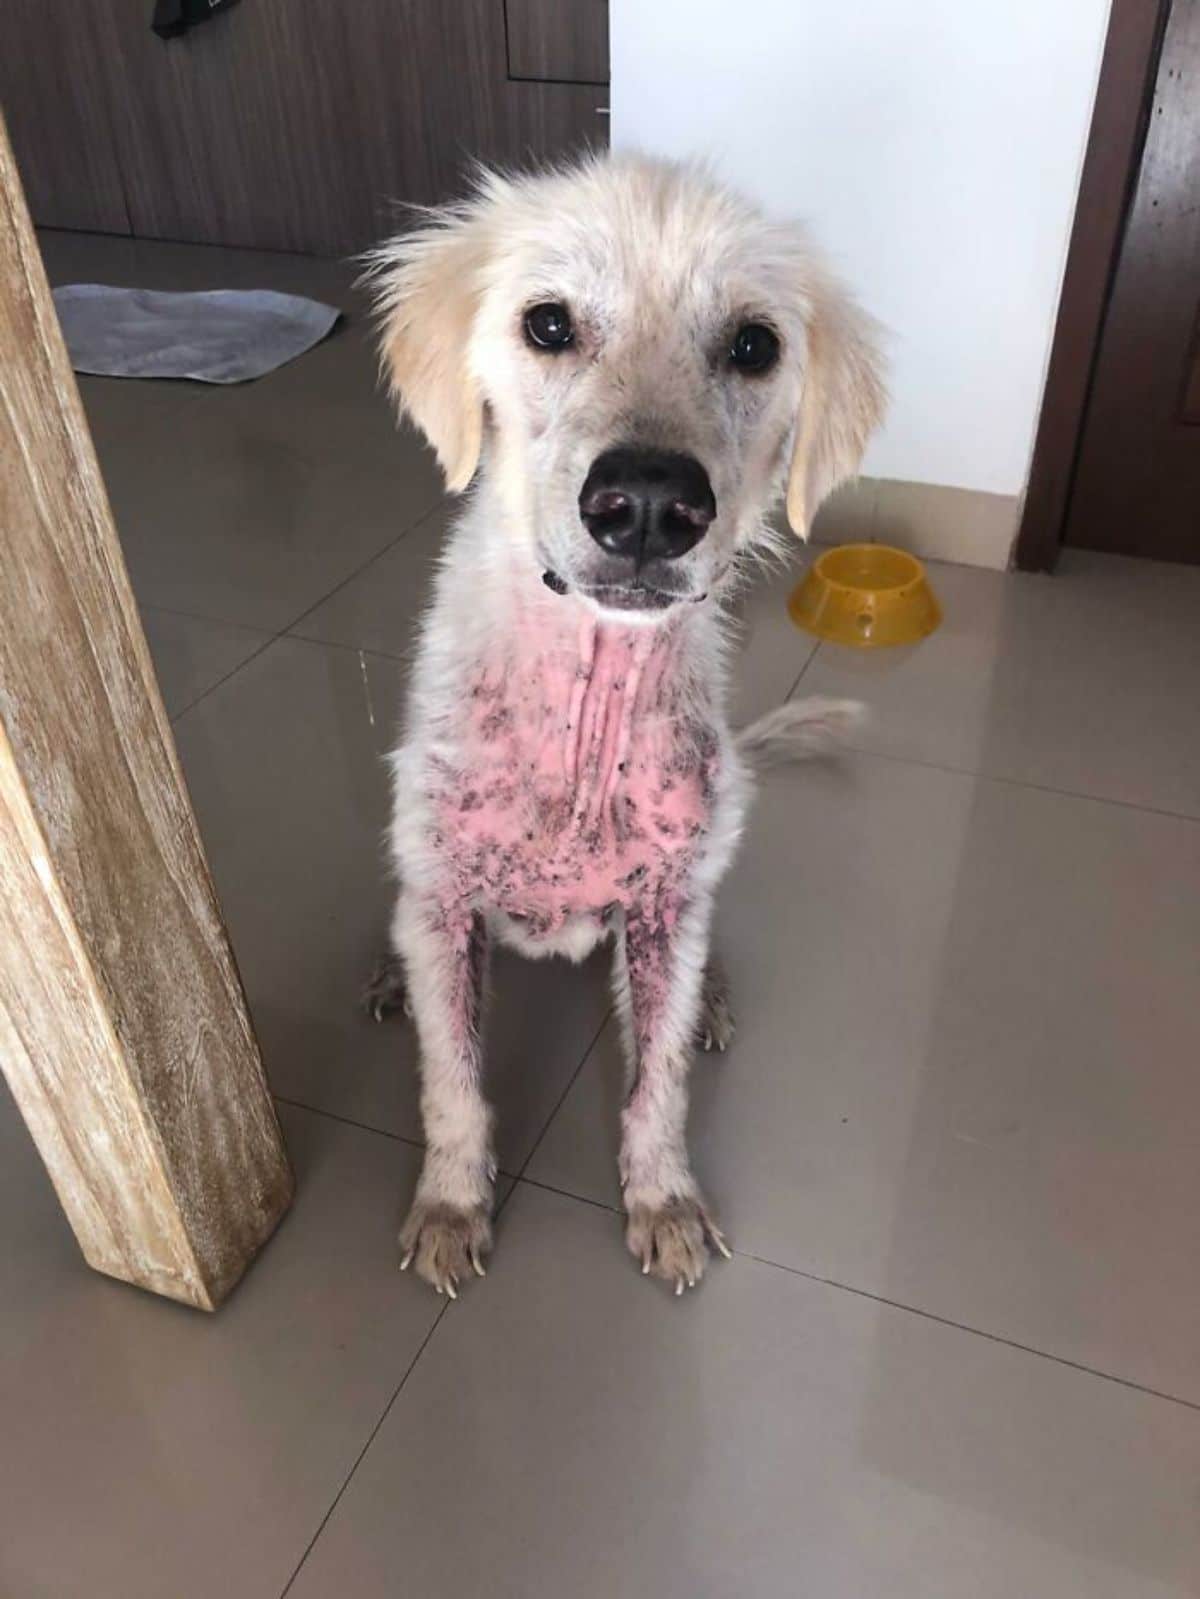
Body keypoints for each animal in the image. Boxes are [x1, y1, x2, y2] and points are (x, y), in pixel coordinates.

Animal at [361, 150, 889, 1298]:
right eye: (549, 324)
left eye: (754, 344)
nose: (648, 504)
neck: (589, 714)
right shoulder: (448, 898)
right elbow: (453, 1082)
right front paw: (451, 1206)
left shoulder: (661, 909)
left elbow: (658, 1085)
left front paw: (664, 1202)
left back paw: (714, 998)